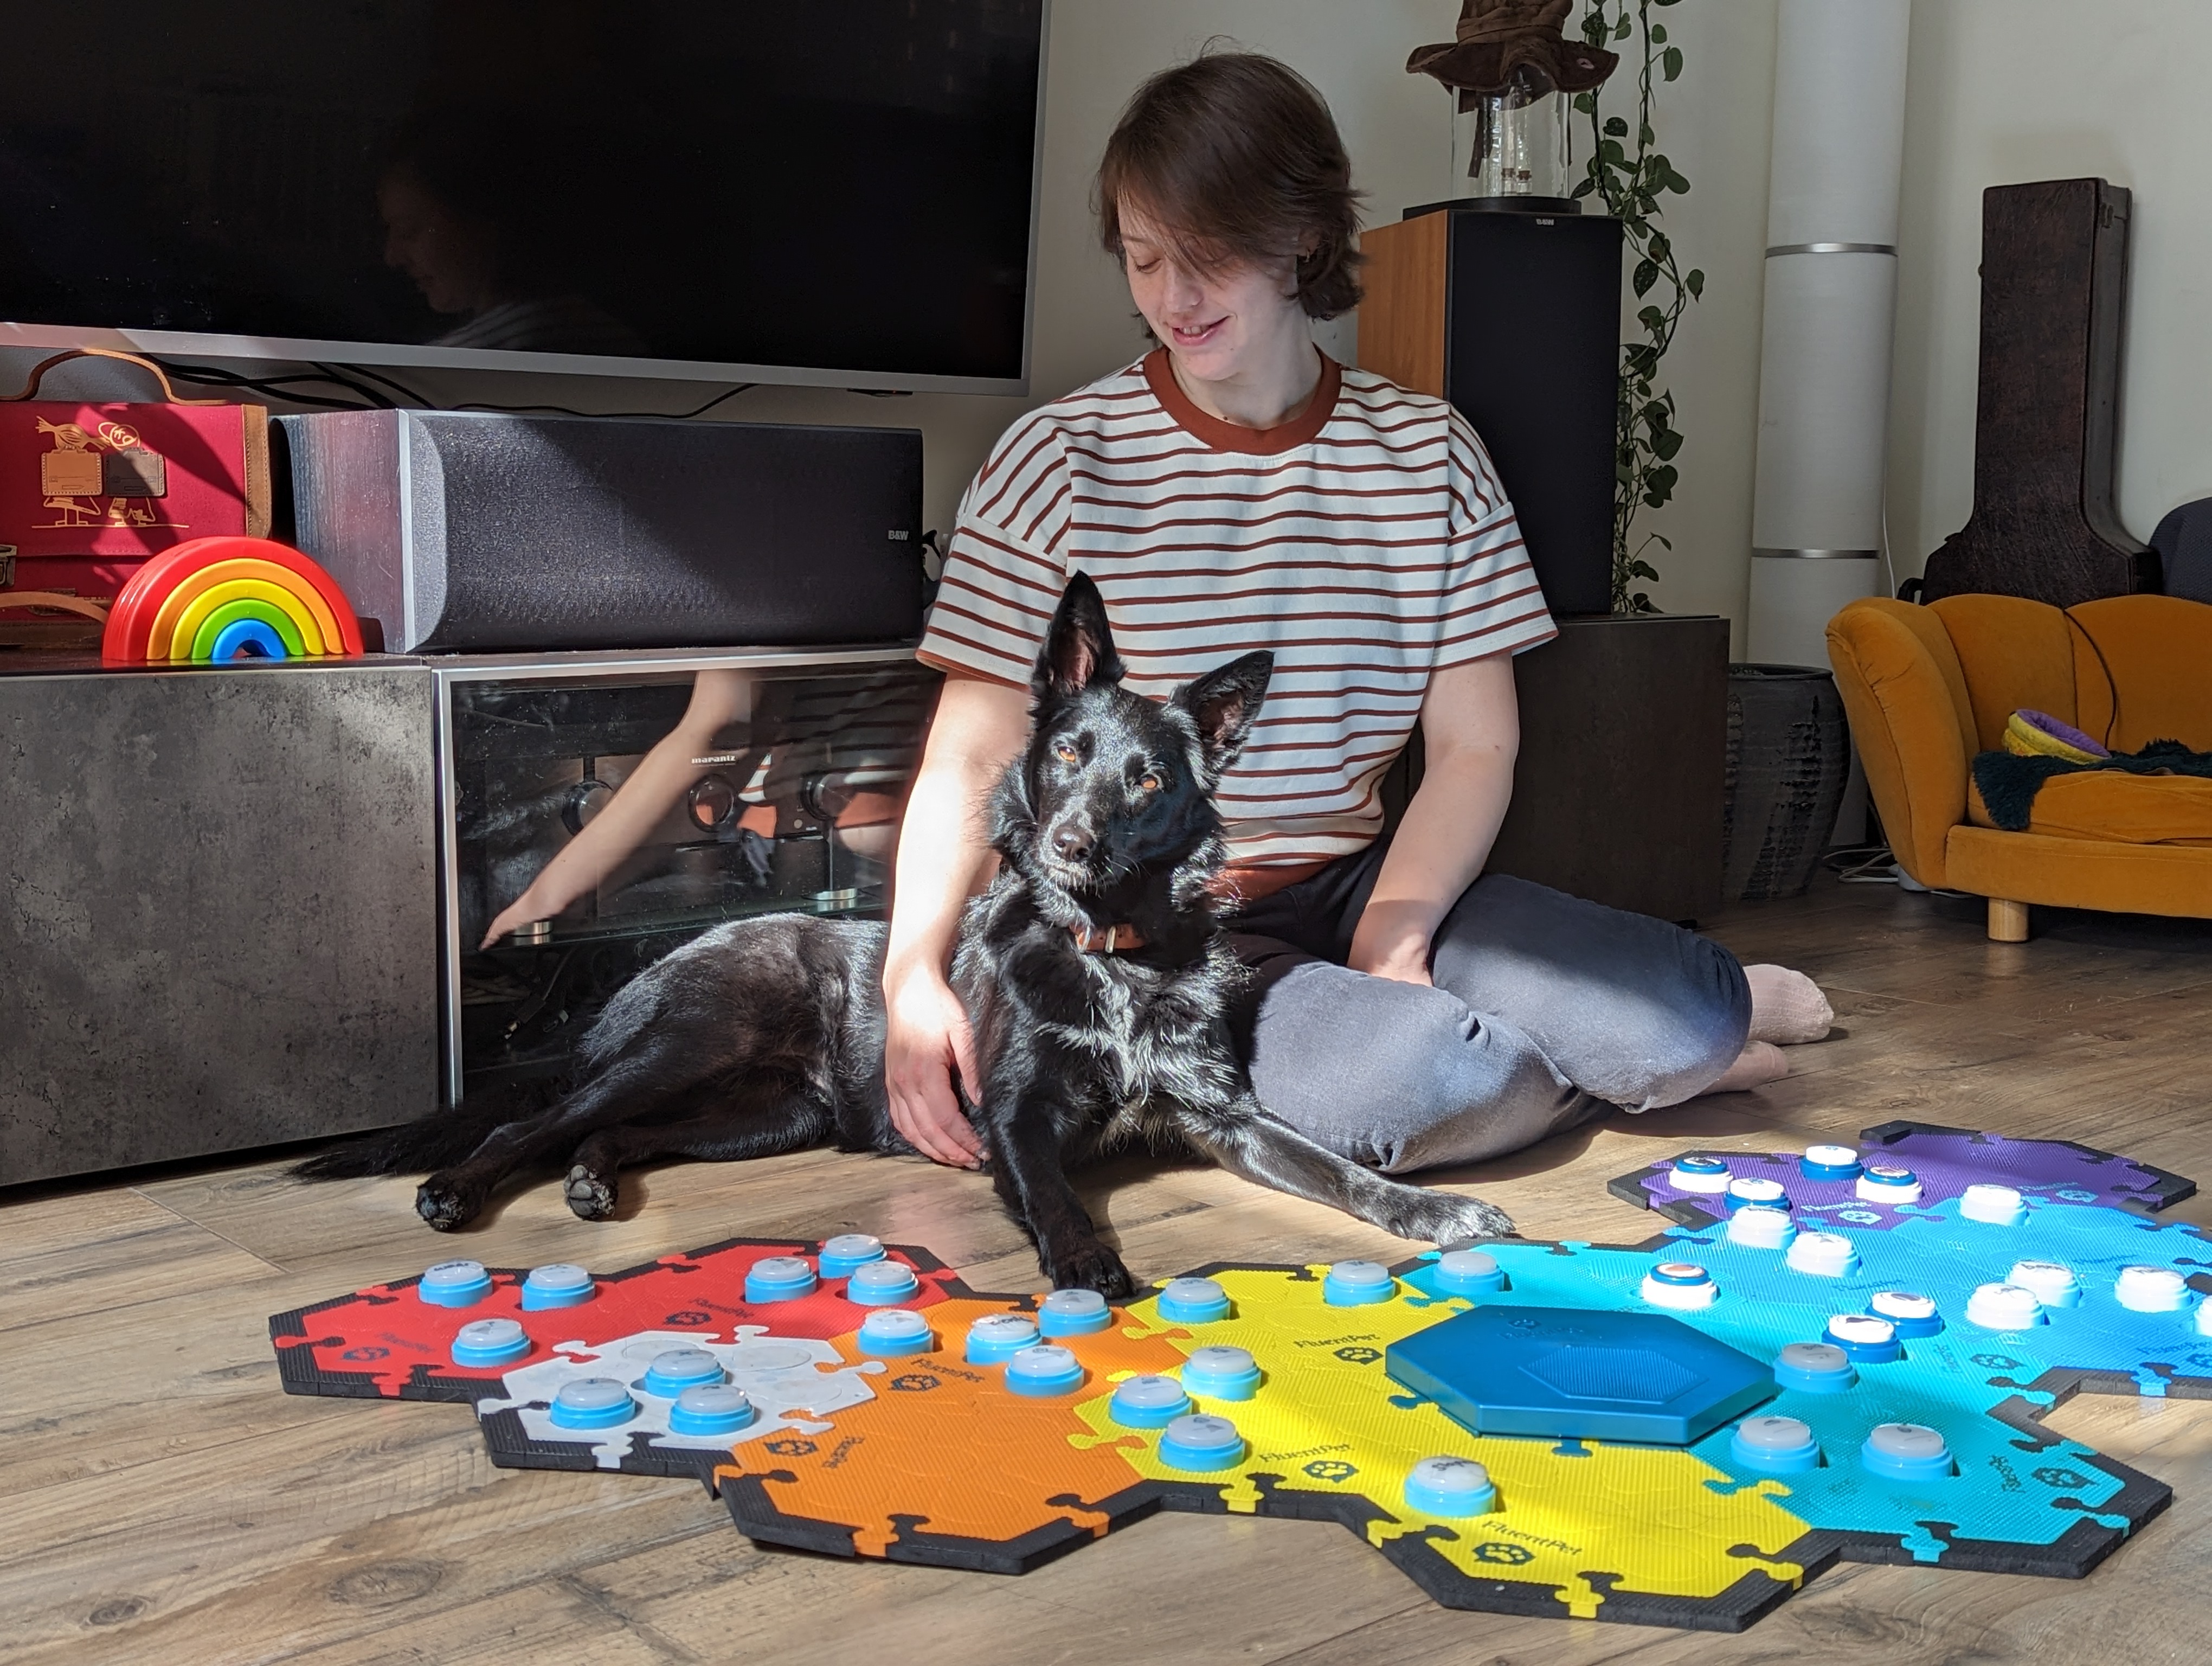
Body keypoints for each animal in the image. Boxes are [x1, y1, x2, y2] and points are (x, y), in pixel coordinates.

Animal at [307, 579, 1522, 1292]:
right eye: (1069, 751)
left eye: (1149, 777)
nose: (1071, 843)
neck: (1109, 954)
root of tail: (661, 962)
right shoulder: (1016, 1115)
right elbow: (1051, 1191)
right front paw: (1086, 1259)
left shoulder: (1226, 1118)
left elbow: (1337, 1171)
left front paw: (1431, 1207)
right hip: (690, 1045)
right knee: (539, 1121)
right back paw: (458, 1188)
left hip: (769, 1111)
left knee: (613, 1134)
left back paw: (596, 1185)